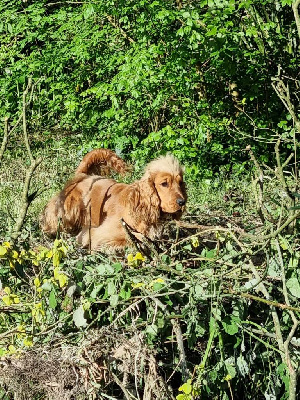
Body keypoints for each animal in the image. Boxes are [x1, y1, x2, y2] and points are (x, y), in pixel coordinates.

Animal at [39, 150, 185, 250]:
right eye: (164, 183)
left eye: (180, 183)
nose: (182, 202)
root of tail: (83, 175)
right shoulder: (101, 234)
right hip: (68, 210)